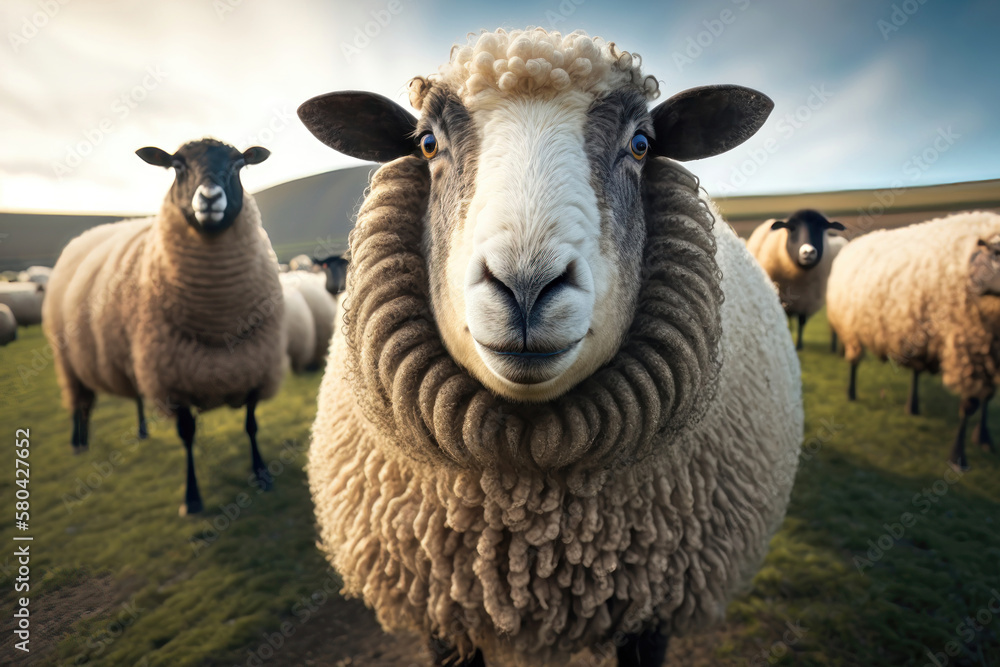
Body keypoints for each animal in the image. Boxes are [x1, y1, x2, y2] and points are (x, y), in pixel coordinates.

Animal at [43, 138, 285, 515]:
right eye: (177, 166)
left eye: (239, 164)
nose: (209, 198)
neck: (217, 322)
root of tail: (81, 238)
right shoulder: (172, 377)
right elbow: (187, 435)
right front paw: (192, 498)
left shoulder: (254, 367)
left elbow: (251, 425)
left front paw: (261, 473)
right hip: (67, 357)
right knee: (78, 402)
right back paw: (78, 441)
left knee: (132, 395)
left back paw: (142, 431)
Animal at [746, 209, 845, 351]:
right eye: (792, 228)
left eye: (821, 227)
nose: (808, 252)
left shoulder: (806, 301)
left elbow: (802, 322)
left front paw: (799, 345)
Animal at [826, 211, 1000, 471]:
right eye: (996, 254)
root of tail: (855, 243)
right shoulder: (970, 351)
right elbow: (969, 406)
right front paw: (958, 457)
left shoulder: (988, 355)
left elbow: (987, 398)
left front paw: (984, 438)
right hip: (851, 328)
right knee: (854, 361)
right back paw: (851, 393)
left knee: (916, 369)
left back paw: (913, 406)